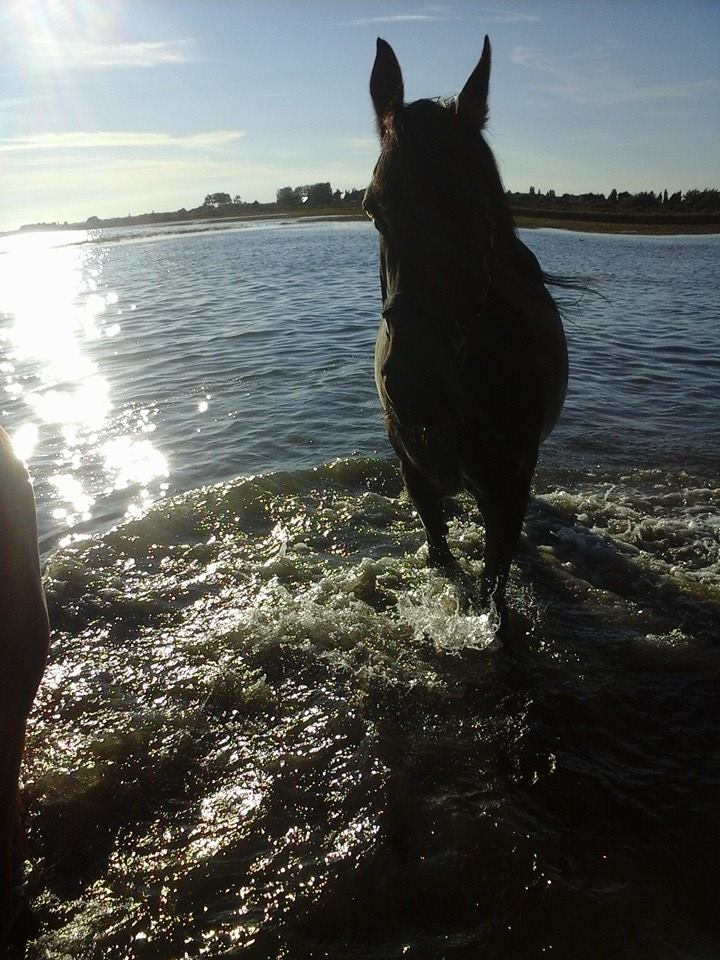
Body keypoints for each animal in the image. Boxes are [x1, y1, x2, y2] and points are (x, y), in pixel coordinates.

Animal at [366, 37, 568, 616]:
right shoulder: (416, 477)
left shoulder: (507, 488)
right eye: (372, 209)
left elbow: (493, 593)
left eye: (478, 211)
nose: (414, 385)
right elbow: (442, 556)